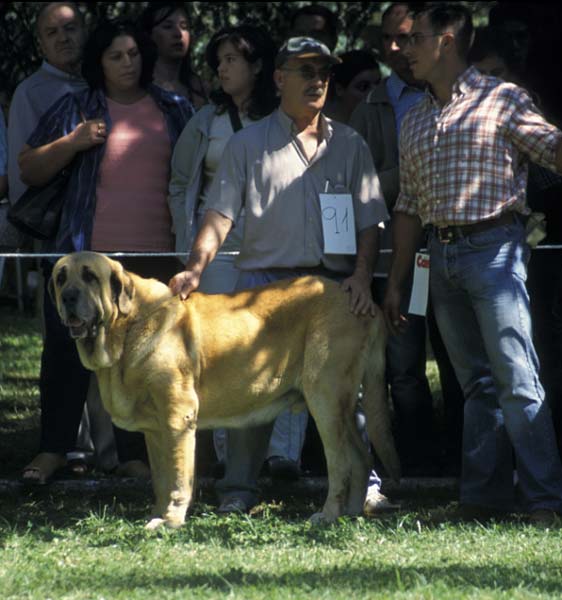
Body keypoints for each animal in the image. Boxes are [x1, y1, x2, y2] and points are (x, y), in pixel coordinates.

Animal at [49, 251, 398, 528]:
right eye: (60, 278)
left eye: (90, 276)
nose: (68, 297)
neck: (127, 326)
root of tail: (361, 301)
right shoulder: (155, 430)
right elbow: (161, 478)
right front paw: (159, 514)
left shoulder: (178, 418)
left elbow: (178, 477)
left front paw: (171, 520)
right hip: (341, 407)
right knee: (361, 455)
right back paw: (351, 512)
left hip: (325, 399)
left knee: (340, 463)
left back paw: (328, 514)